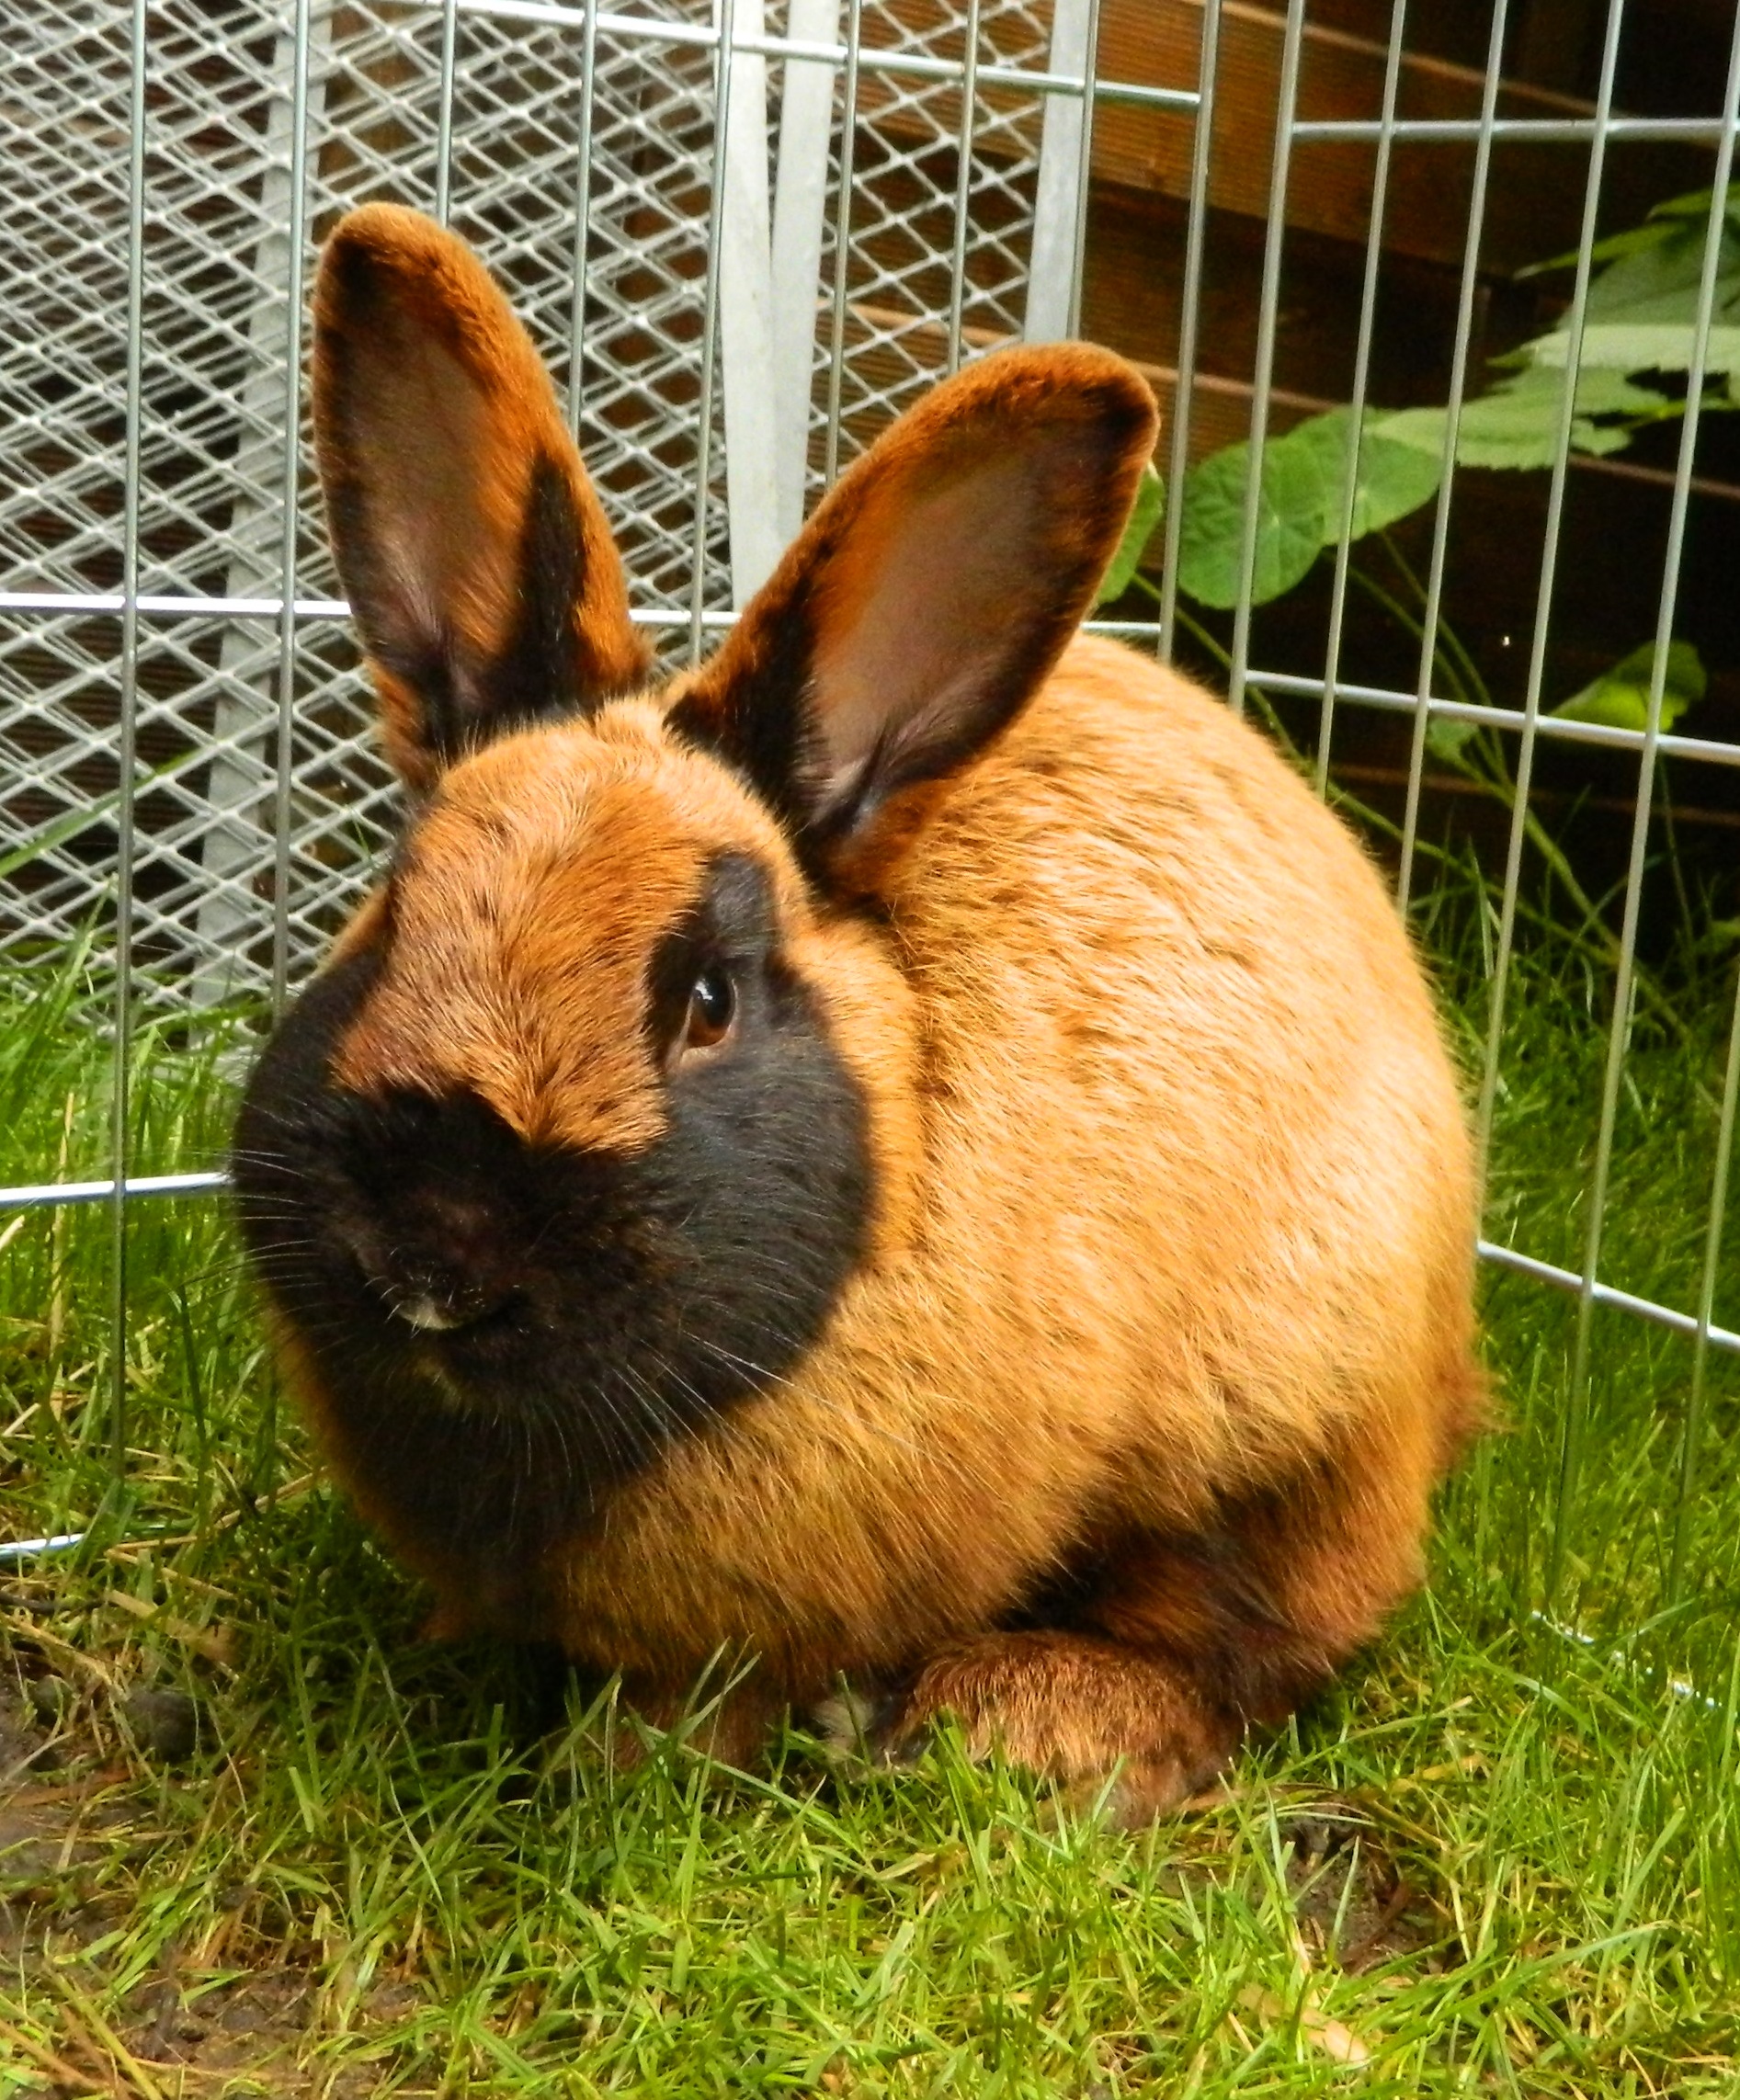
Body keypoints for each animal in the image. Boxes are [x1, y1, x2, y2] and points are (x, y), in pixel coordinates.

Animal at [231, 200, 1479, 1822]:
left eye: (707, 999)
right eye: (392, 906)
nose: (432, 1255)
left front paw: (632, 1768)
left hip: (1285, 1427)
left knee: (1252, 1637)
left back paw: (1027, 1719)